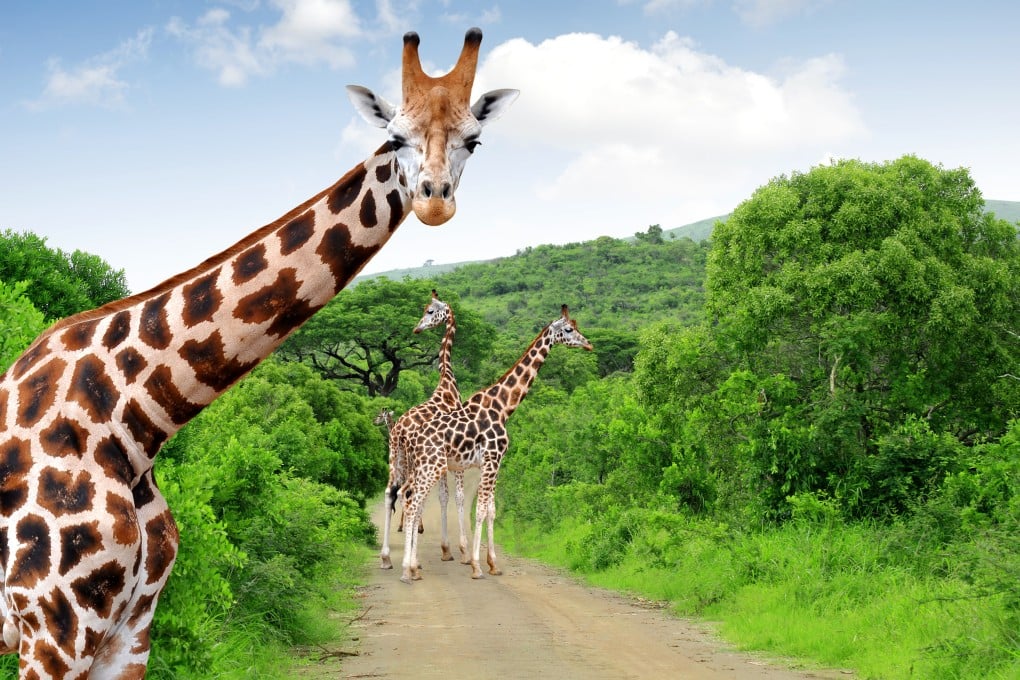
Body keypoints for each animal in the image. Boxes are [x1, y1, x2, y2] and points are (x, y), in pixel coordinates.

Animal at [379, 290, 467, 570]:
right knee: (408, 494)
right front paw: (458, 550)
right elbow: (454, 496)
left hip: (395, 458)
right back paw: (411, 559)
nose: (417, 328)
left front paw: (446, 549)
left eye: (430, 311)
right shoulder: (455, 459)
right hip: (413, 463)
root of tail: (398, 431)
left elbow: (442, 496)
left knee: (391, 493)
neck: (448, 385)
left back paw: (387, 557)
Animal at [400, 306, 593, 584]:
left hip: (423, 468)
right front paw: (476, 566)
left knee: (410, 503)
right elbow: (480, 510)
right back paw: (408, 569)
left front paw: (493, 564)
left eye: (576, 326)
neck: (503, 407)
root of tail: (411, 438)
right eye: (568, 329)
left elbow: (491, 510)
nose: (588, 344)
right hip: (431, 468)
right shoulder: (492, 459)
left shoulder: (492, 462)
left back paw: (411, 567)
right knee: (413, 505)